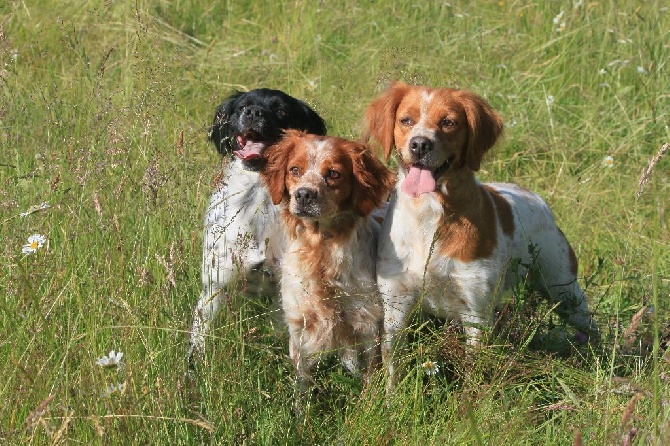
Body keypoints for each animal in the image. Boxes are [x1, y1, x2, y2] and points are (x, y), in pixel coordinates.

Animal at [189, 88, 328, 362]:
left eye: (282, 111)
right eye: (243, 106)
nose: (254, 112)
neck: (261, 201)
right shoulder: (215, 283)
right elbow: (199, 334)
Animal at [262, 131, 396, 386]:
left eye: (333, 174)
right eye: (295, 170)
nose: (303, 194)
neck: (320, 250)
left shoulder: (367, 324)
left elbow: (370, 378)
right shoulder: (300, 327)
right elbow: (302, 386)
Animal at [364, 83, 600, 386]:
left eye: (448, 122)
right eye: (406, 120)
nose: (420, 144)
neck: (429, 216)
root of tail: (536, 199)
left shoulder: (475, 312)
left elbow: (472, 374)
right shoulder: (395, 307)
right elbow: (394, 371)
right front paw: (389, 397)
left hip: (564, 290)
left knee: (591, 326)